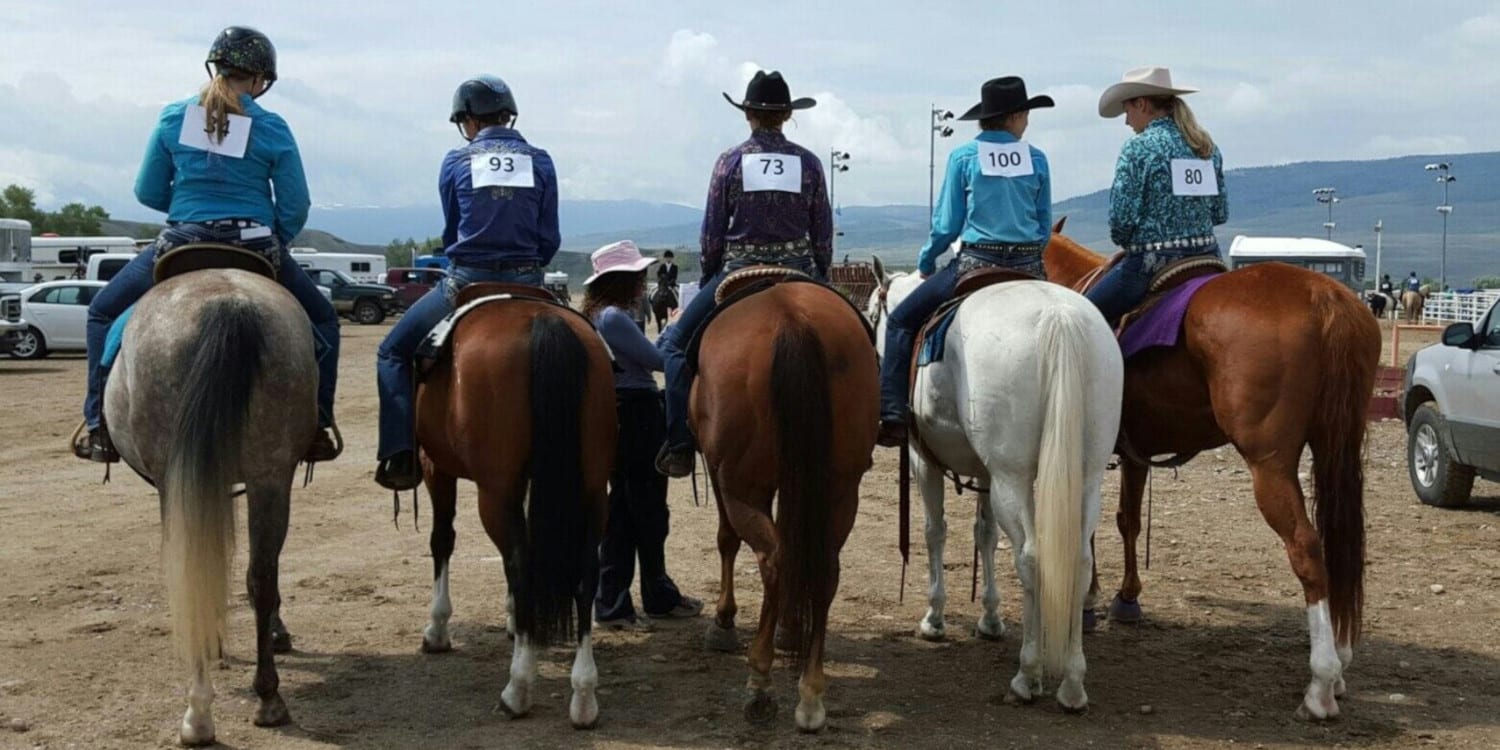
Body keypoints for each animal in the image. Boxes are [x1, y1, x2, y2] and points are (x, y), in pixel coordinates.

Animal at [105, 270, 319, 744]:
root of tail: (226, 304)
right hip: (269, 473)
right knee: (260, 574)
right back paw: (265, 699)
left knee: (199, 566)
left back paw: (200, 713)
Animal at [414, 292, 612, 726]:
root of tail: (543, 322)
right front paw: (511, 619)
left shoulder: (435, 466)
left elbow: (442, 540)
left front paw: (437, 628)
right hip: (592, 489)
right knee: (585, 572)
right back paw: (584, 696)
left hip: (495, 491)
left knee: (519, 564)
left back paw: (518, 689)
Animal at [693, 279, 876, 729]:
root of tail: (793, 320)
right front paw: (791, 629)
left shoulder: (719, 473)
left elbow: (726, 539)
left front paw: (723, 621)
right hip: (840, 488)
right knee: (823, 567)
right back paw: (810, 693)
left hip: (742, 486)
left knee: (772, 560)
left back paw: (760, 684)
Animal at [864, 258, 1122, 708]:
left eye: (873, 313)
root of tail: (1058, 317)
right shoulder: (986, 474)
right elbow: (984, 534)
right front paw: (990, 617)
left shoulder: (923, 460)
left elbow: (935, 531)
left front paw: (934, 618)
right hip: (1083, 479)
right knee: (1079, 561)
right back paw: (1073, 684)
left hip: (1012, 478)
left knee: (1032, 558)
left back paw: (1028, 675)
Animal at [1044, 226, 1380, 720]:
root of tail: (1324, 296)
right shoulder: (1134, 452)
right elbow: (1129, 521)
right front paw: (1126, 598)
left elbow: (1093, 528)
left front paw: (1089, 601)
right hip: (1337, 445)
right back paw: (1340, 662)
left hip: (1269, 464)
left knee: (1306, 547)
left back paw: (1320, 684)